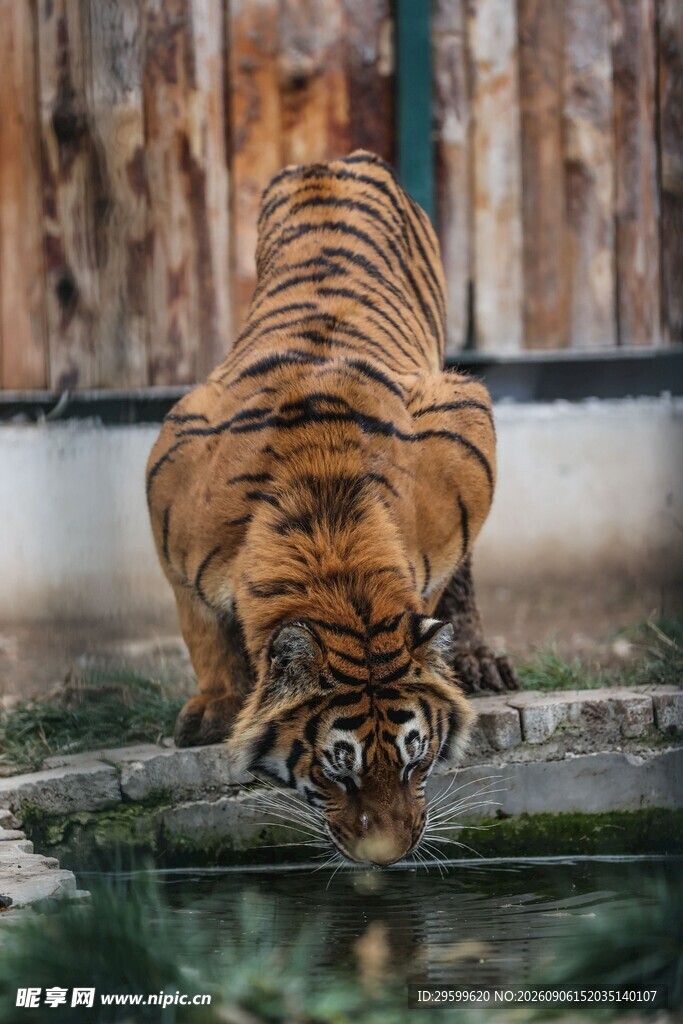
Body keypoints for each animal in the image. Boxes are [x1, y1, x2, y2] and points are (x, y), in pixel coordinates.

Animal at [146, 150, 517, 867]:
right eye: (335, 770)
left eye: (415, 762)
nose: (389, 858)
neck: (328, 544)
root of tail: (333, 159)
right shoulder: (168, 489)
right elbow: (200, 624)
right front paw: (217, 707)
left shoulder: (465, 430)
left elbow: (446, 577)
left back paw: (478, 660)